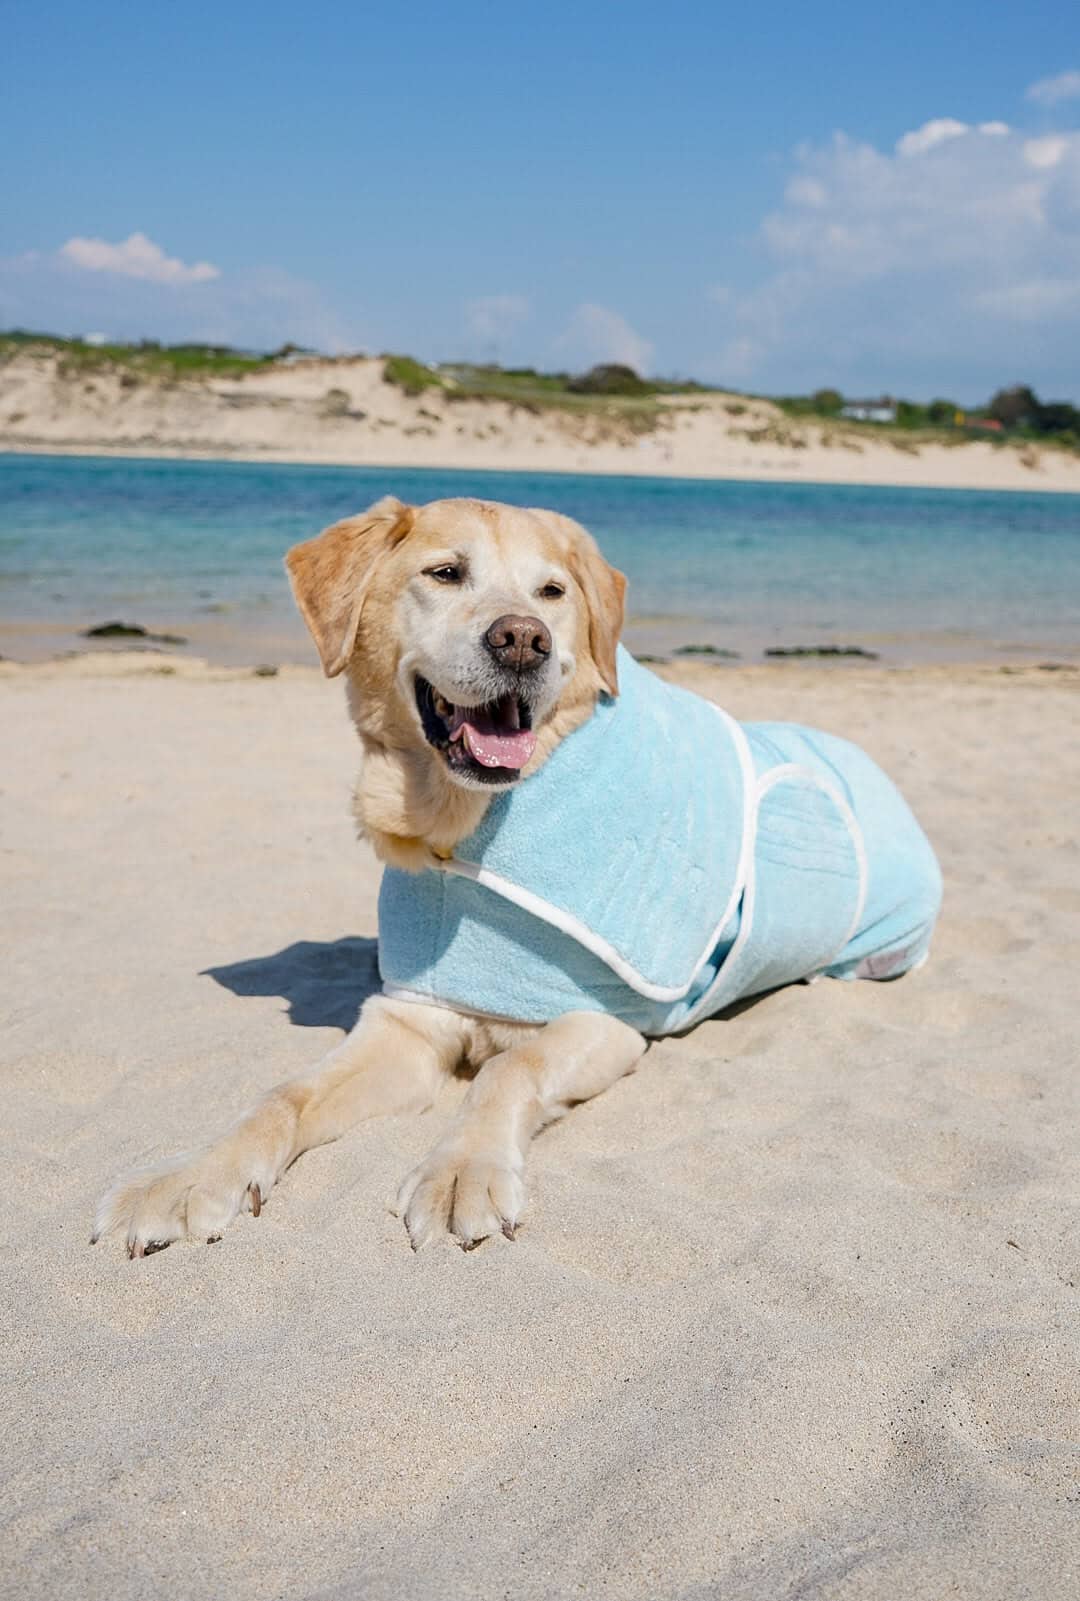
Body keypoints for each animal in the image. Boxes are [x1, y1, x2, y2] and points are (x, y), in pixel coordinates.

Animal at [95, 496, 941, 1257]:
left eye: (552, 593)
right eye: (445, 572)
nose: (522, 640)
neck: (457, 831)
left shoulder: (601, 1021)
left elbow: (508, 1067)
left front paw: (460, 1170)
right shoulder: (407, 1023)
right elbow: (281, 1093)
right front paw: (186, 1177)